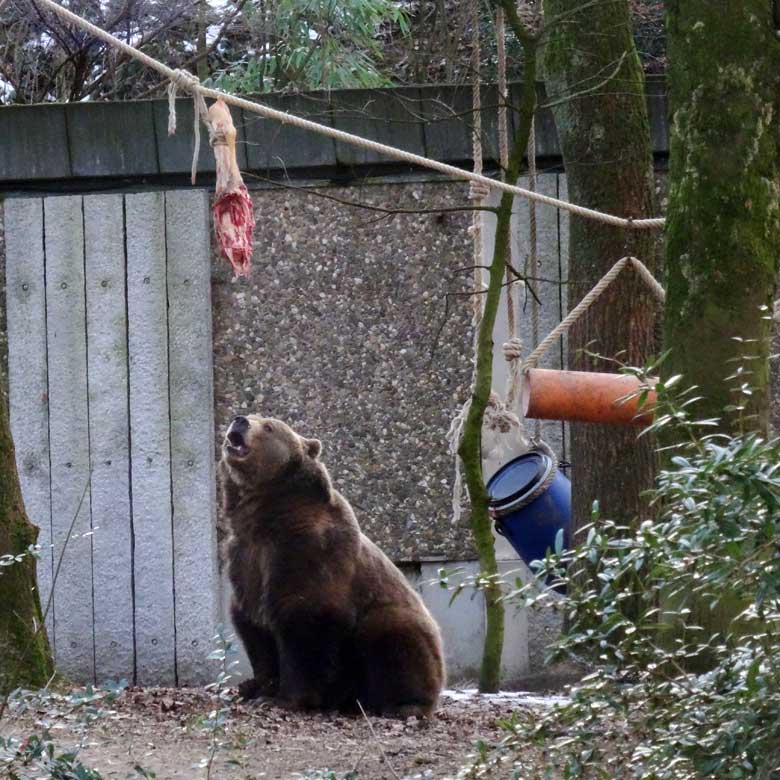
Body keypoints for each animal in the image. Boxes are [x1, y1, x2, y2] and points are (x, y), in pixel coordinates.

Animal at [218, 418, 444, 716]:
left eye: (268, 426)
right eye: (254, 416)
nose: (240, 420)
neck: (265, 514)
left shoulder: (309, 552)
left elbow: (306, 623)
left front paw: (284, 699)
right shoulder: (246, 559)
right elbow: (254, 628)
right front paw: (257, 688)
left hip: (394, 629)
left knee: (393, 633)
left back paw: (405, 704)